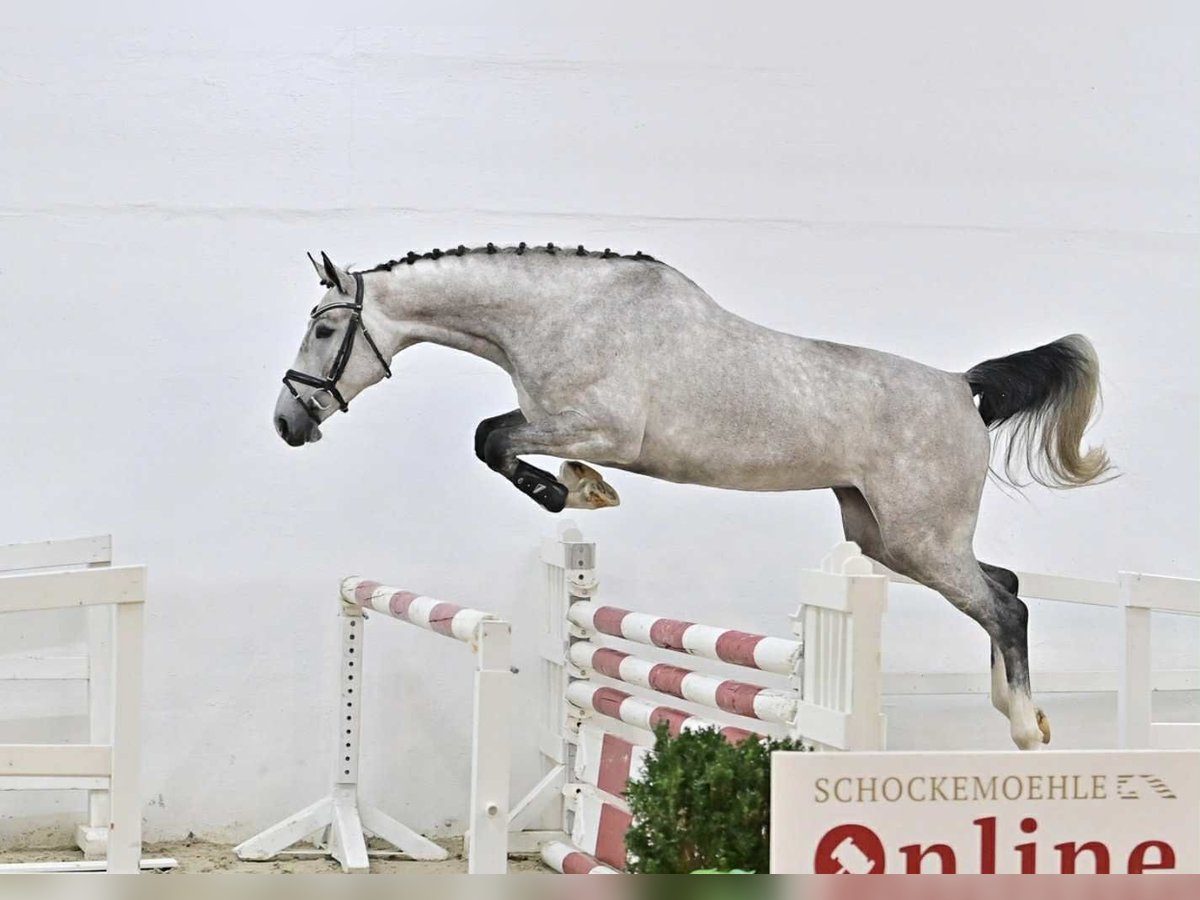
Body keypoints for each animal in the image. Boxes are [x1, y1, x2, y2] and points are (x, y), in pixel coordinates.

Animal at [273, 243, 1113, 750]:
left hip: (921, 538)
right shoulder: (560, 420)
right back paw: (1018, 711)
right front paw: (577, 488)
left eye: (324, 330)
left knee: (1006, 606)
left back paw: (1026, 729)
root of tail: (960, 386)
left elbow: (491, 438)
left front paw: (576, 490)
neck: (558, 315)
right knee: (1003, 586)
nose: (287, 422)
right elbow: (494, 437)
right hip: (884, 537)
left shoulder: (601, 427)